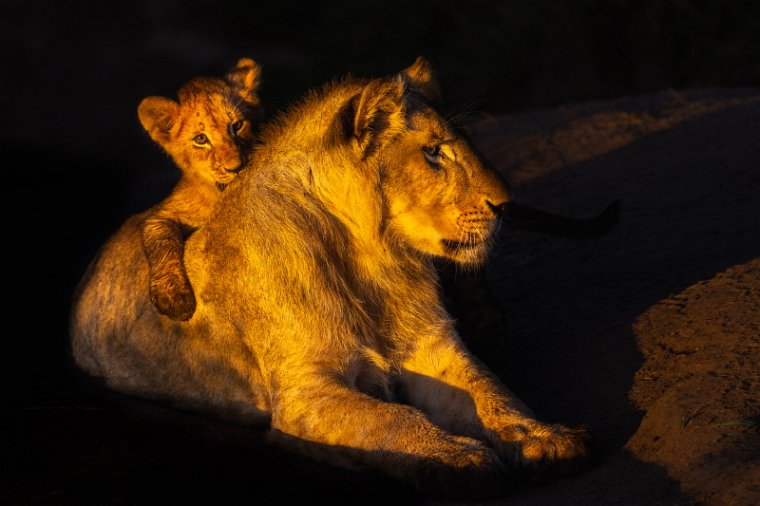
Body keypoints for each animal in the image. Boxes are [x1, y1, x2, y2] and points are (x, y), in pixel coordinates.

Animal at [137, 58, 264, 320]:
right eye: (201, 139)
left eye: (237, 125)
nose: (236, 167)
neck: (219, 192)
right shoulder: (160, 213)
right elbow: (160, 239)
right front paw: (172, 296)